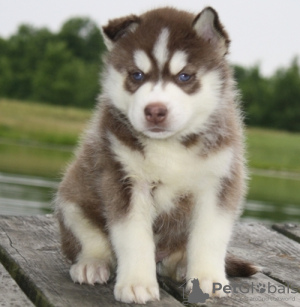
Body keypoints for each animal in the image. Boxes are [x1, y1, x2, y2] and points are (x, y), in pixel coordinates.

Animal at [55, 7, 258, 306]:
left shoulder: (219, 180)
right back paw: (92, 264)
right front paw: (137, 284)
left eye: (185, 76)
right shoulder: (124, 179)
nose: (155, 111)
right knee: (91, 240)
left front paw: (208, 279)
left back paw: (183, 267)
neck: (169, 146)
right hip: (71, 198)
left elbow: (209, 236)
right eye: (137, 75)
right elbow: (133, 236)